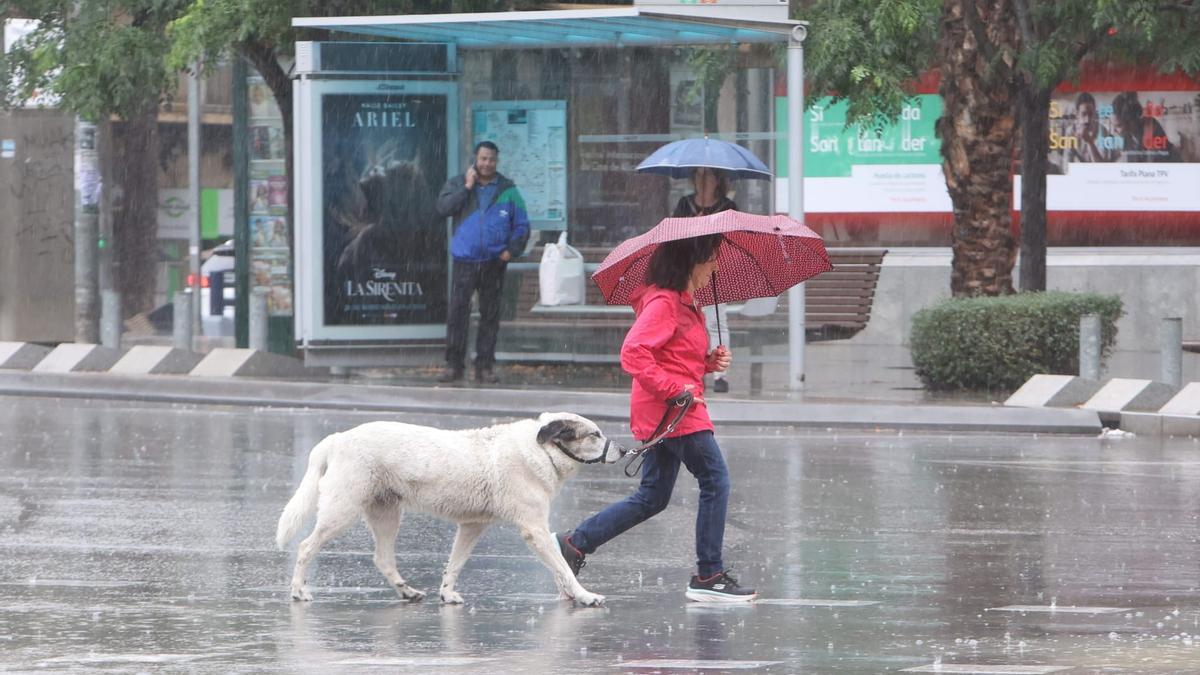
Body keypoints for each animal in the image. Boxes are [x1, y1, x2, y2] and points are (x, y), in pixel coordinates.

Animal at [274, 410, 624, 605]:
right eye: (595, 434)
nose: (623, 451)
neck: (541, 450)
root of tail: (338, 438)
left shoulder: (472, 526)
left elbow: (454, 564)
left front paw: (447, 594)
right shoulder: (534, 530)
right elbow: (562, 568)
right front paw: (584, 596)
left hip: (387, 515)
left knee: (383, 558)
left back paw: (407, 592)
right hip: (342, 511)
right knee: (305, 546)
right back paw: (298, 591)